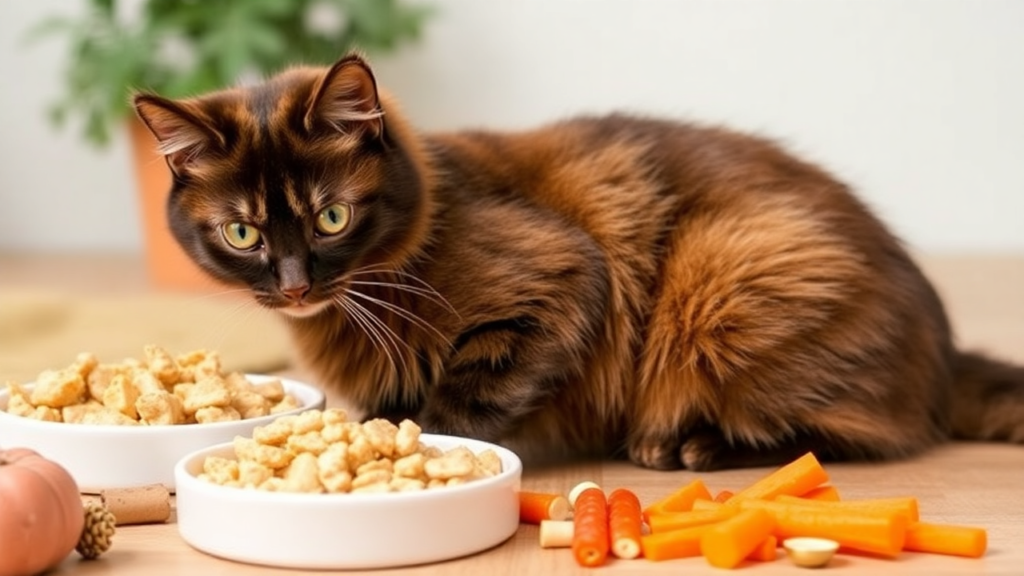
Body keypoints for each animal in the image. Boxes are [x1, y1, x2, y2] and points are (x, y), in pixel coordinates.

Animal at [132, 51, 1024, 469]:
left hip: (727, 269)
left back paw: (689, 447)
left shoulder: (559, 279)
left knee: (857, 435)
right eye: (242, 235)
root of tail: (945, 352)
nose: (294, 286)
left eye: (331, 217)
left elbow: (468, 396)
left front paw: (425, 439)